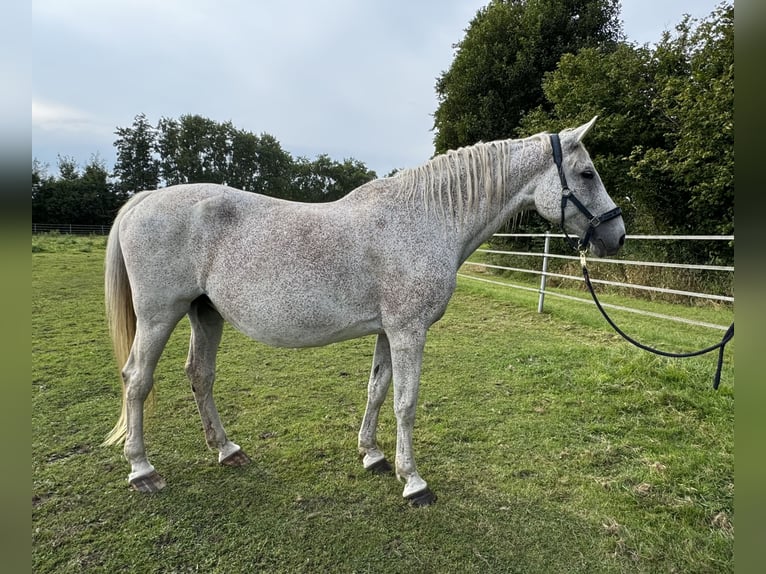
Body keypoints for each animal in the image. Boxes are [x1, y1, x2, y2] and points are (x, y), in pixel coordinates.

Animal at [102, 116, 625, 505]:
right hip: (158, 315)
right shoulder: (410, 331)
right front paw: (413, 482)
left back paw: (227, 449)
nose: (616, 236)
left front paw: (372, 455)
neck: (426, 218)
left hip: (204, 313)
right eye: (587, 174)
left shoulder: (388, 331)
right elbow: (405, 403)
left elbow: (377, 391)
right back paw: (142, 470)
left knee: (200, 375)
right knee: (137, 379)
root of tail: (144, 199)